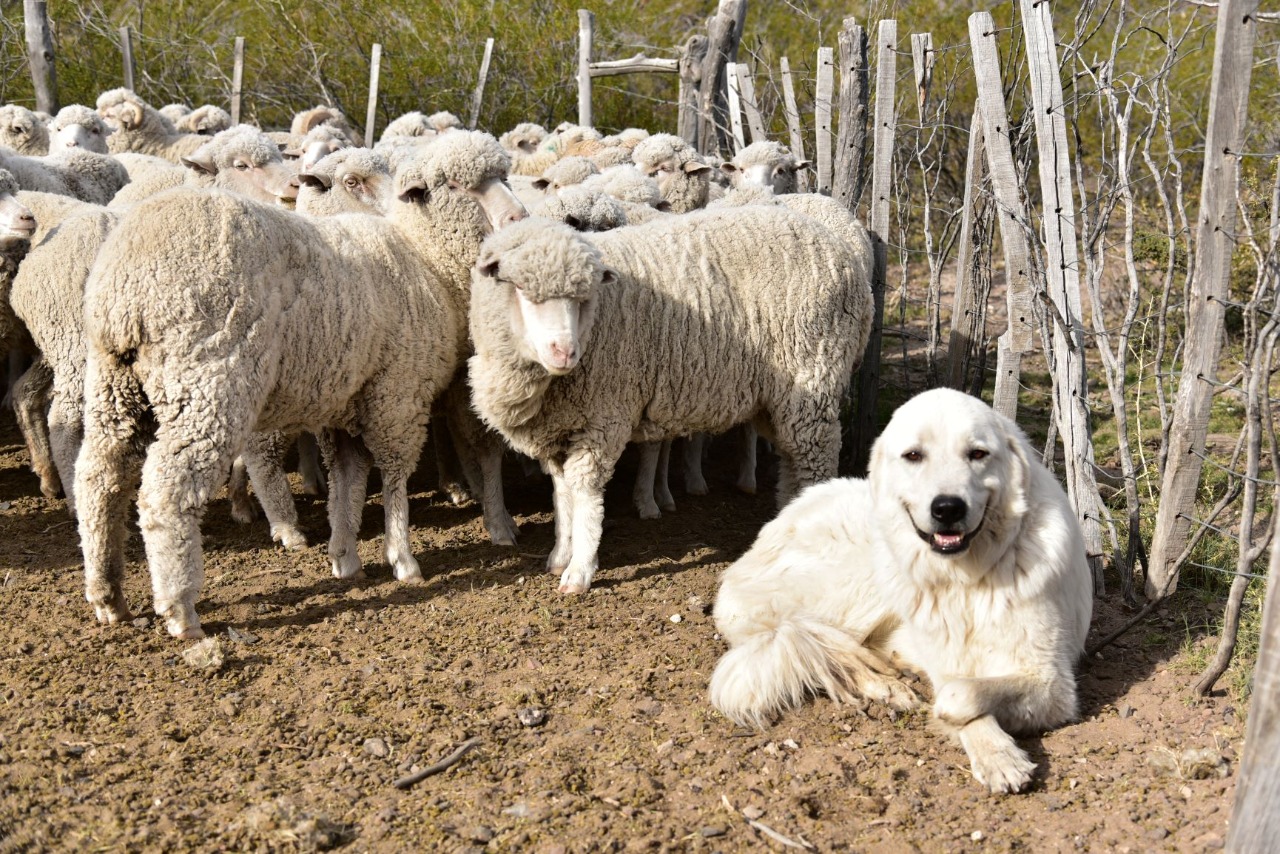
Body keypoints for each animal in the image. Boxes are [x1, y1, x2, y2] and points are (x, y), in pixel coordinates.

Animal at [74, 130, 527, 637]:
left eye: (504, 175)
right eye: (456, 184)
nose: (518, 216)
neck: (426, 258)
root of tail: (127, 281)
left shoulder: (347, 401)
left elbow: (348, 478)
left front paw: (345, 555)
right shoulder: (397, 394)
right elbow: (393, 476)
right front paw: (402, 558)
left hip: (114, 384)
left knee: (98, 478)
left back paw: (107, 594)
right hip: (209, 381)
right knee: (165, 493)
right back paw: (180, 610)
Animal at [471, 207, 880, 594]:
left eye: (584, 299)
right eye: (522, 291)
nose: (565, 352)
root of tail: (850, 260)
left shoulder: (604, 416)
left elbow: (584, 492)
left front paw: (579, 571)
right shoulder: (560, 424)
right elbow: (561, 493)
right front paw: (559, 554)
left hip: (814, 377)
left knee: (816, 460)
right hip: (781, 399)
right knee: (792, 458)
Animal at [711, 389, 1090, 793]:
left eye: (977, 454)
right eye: (913, 455)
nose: (947, 508)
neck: (965, 577)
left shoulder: (1053, 683)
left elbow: (962, 692)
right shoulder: (953, 664)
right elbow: (957, 691)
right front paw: (997, 755)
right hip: (861, 578)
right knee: (816, 642)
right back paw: (888, 686)